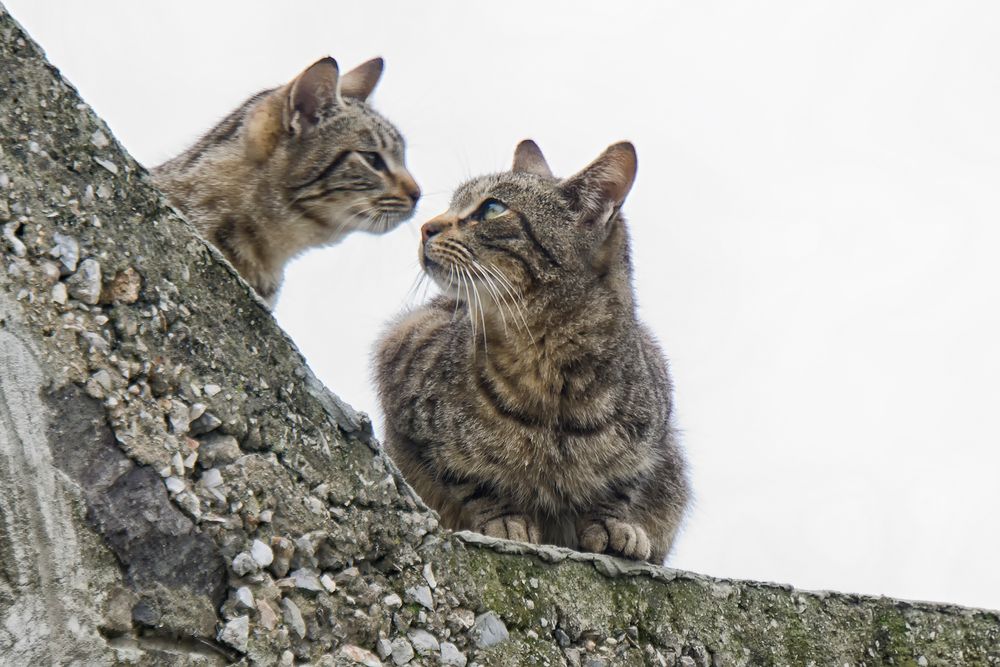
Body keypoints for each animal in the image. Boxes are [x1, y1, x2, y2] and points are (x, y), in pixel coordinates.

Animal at [376, 141, 688, 564]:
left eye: (492, 209)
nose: (427, 227)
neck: (551, 369)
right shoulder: (405, 372)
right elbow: (469, 480)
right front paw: (504, 518)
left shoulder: (654, 434)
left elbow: (621, 488)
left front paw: (611, 524)